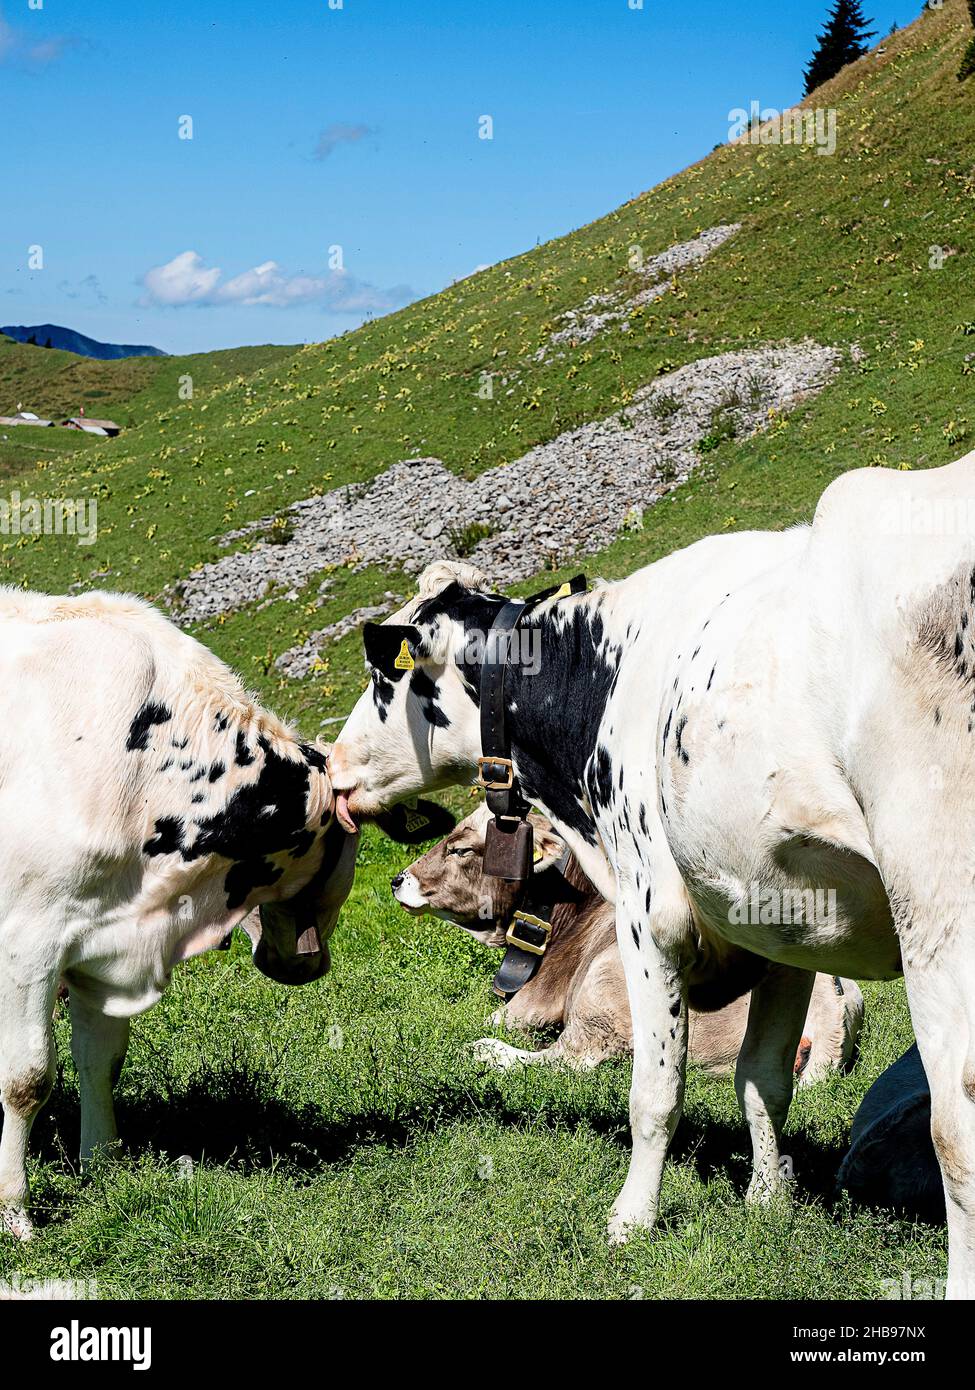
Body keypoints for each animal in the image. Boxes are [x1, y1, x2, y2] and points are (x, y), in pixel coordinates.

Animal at [0, 586, 358, 1239]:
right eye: (342, 851)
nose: (308, 965)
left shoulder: (96, 942)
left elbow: (102, 1061)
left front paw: (105, 1169)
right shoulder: (27, 943)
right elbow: (27, 1079)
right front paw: (14, 1212)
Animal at [392, 806, 862, 1084]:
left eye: (461, 849)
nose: (399, 880)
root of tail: (830, 1008)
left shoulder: (532, 1004)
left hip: (607, 986)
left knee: (569, 1058)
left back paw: (486, 1052)